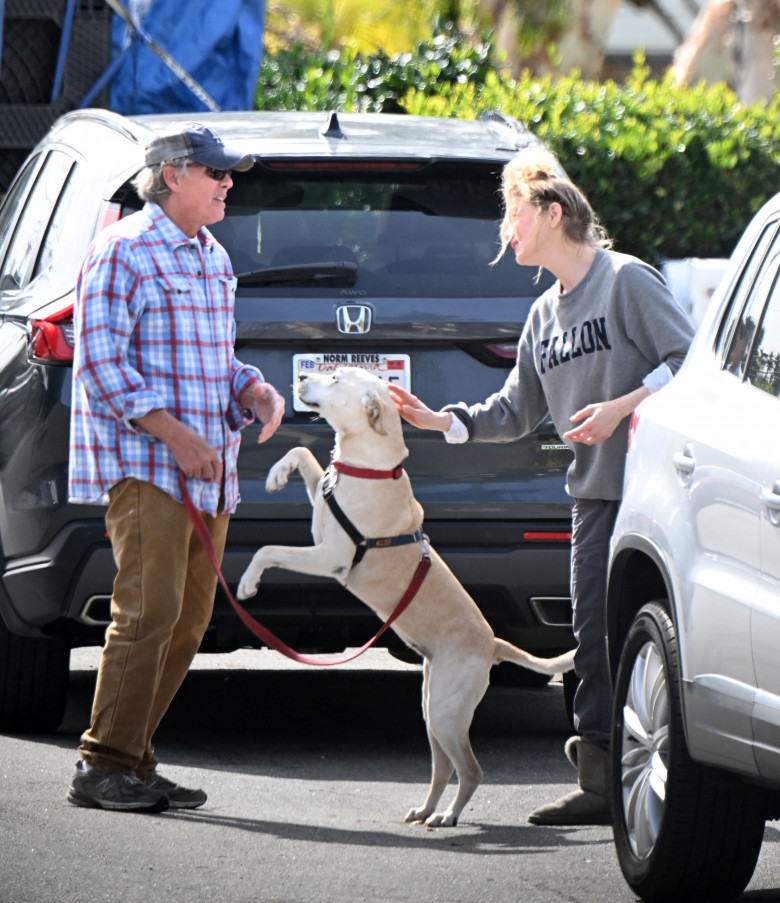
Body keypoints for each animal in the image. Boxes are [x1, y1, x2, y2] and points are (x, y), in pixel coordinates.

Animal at [238, 368, 572, 828]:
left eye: (336, 377)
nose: (303, 375)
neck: (369, 466)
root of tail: (492, 644)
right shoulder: (322, 503)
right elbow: (303, 452)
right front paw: (275, 473)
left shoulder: (330, 555)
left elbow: (266, 550)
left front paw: (247, 583)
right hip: (431, 708)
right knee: (443, 766)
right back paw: (426, 809)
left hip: (448, 712)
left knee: (470, 768)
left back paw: (448, 816)